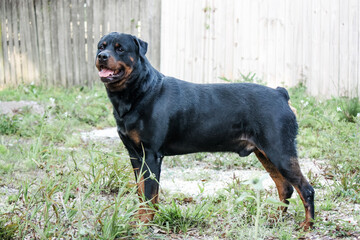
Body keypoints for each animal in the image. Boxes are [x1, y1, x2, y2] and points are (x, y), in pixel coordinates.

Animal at [95, 32, 316, 231]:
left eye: (120, 49)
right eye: (101, 46)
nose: (102, 56)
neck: (140, 91)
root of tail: (281, 94)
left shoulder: (151, 155)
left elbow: (150, 193)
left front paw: (145, 223)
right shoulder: (135, 155)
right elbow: (141, 191)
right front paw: (140, 219)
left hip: (280, 151)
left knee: (306, 189)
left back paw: (307, 225)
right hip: (265, 153)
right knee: (285, 188)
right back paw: (275, 219)